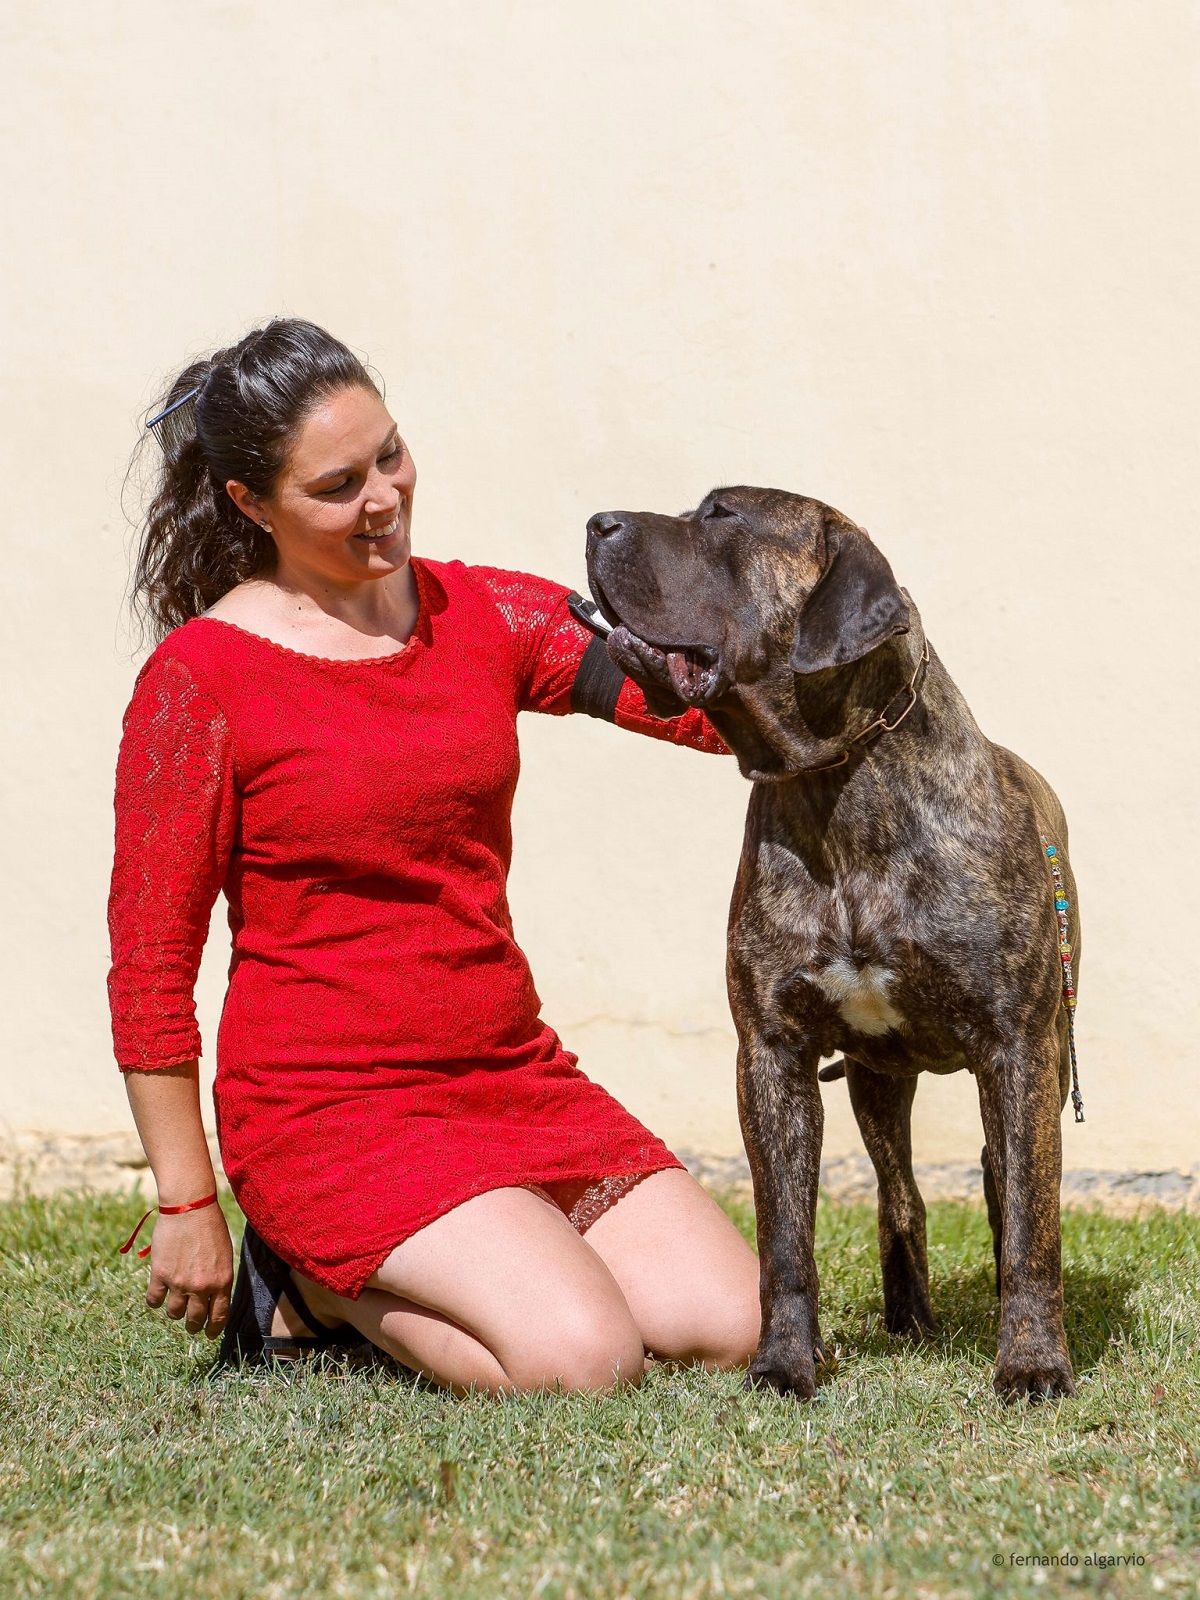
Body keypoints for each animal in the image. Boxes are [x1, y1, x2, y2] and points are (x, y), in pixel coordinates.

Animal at [588, 486, 1088, 1401]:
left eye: (722, 516)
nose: (597, 523)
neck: (837, 786)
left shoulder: (1020, 1049)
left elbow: (1033, 1222)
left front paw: (1034, 1362)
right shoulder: (772, 1054)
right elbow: (786, 1238)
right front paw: (785, 1363)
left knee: (1002, 1182)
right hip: (874, 1080)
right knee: (901, 1195)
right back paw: (909, 1316)